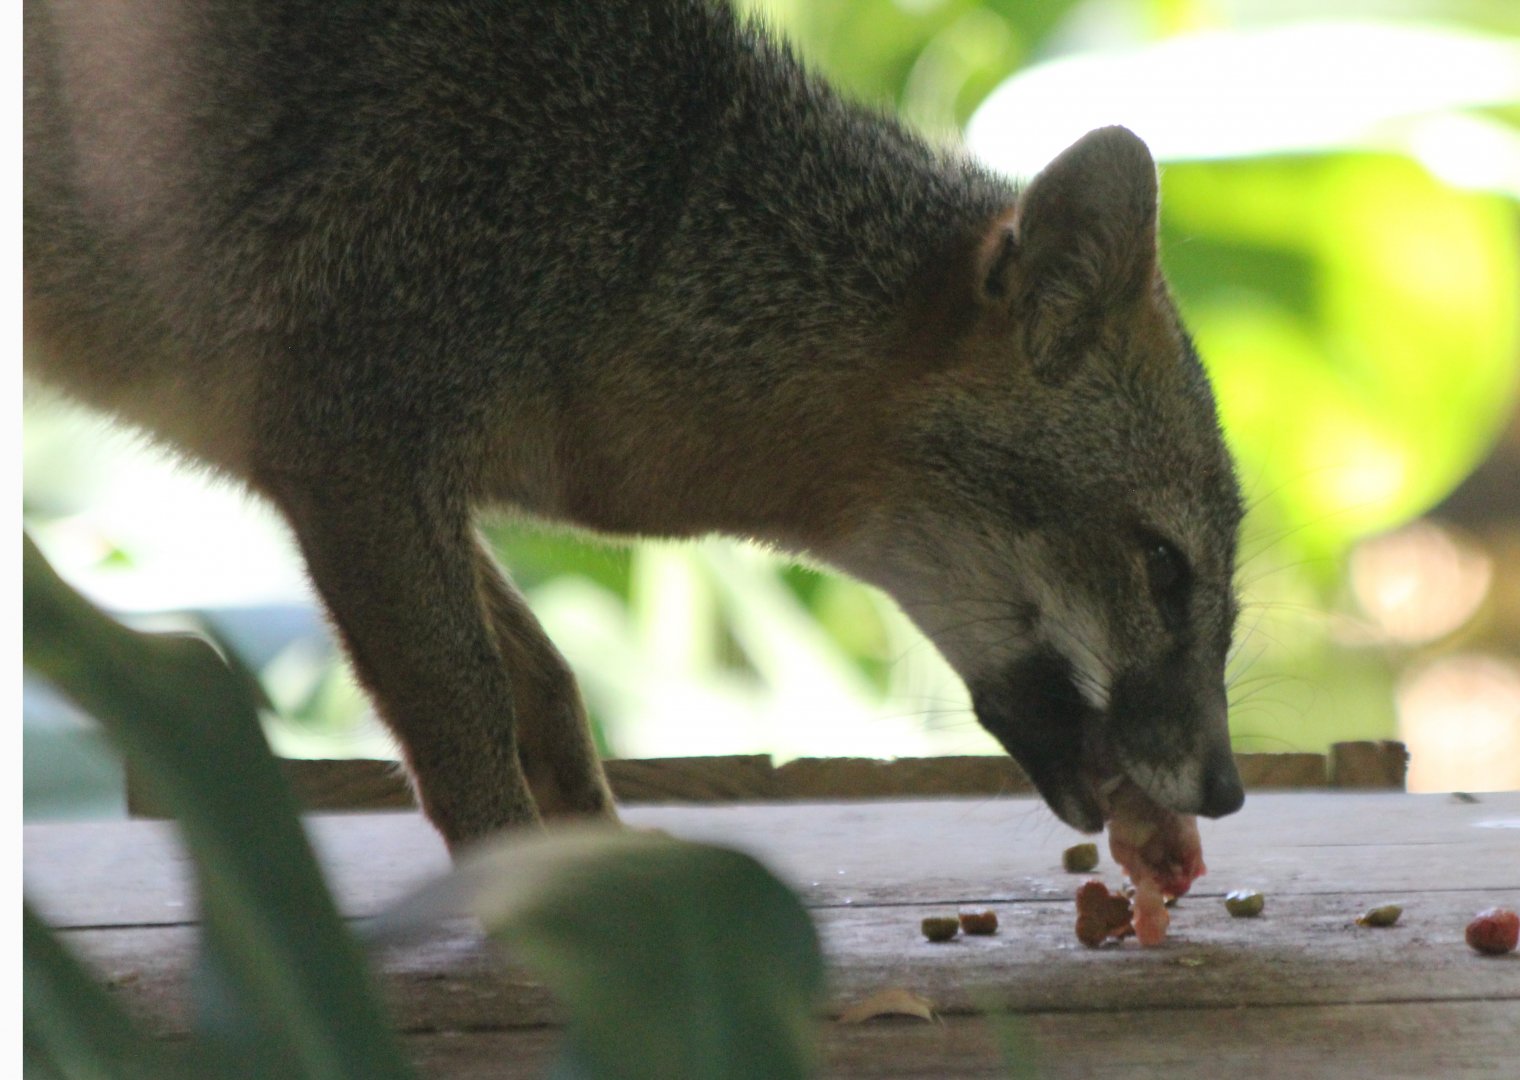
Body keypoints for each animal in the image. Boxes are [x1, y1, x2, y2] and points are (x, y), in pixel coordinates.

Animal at [24, 0, 1247, 862]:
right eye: (1162, 566)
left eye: (1225, 600)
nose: (1230, 790)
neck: (635, 225)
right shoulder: (353, 456)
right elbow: (464, 699)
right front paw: (516, 888)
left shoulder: (383, 479)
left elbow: (547, 684)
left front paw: (598, 872)